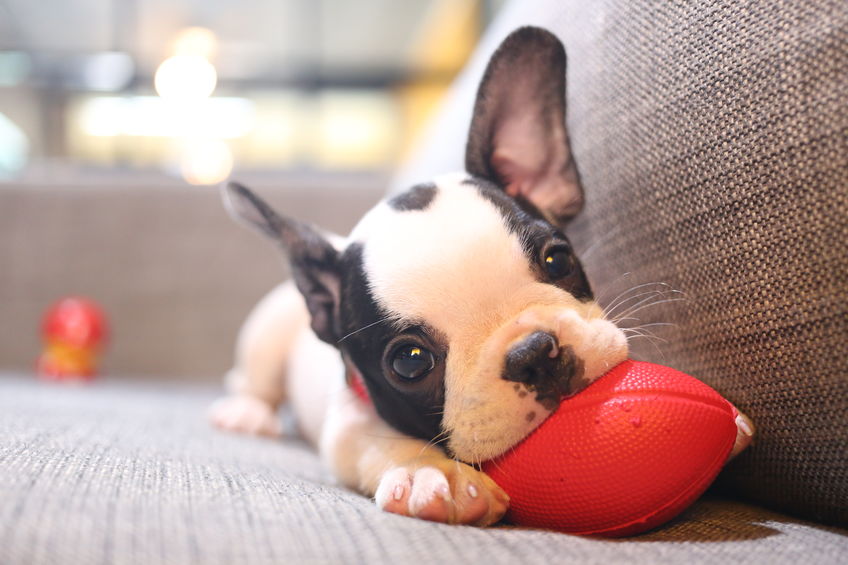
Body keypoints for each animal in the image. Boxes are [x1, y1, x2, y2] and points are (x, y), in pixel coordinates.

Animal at [209, 26, 752, 528]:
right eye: (409, 362)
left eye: (558, 261)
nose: (534, 354)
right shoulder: (347, 423)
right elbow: (378, 441)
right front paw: (434, 474)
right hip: (266, 333)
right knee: (251, 380)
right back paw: (247, 413)